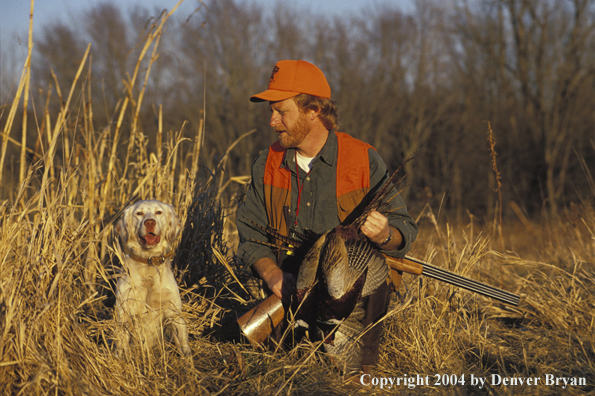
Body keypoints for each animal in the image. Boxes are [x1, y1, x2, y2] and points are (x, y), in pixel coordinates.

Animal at [114, 200, 191, 358]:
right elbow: (122, 347)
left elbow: (185, 349)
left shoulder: (174, 314)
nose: (150, 222)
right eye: (139, 213)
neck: (148, 262)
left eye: (158, 212)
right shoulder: (124, 315)